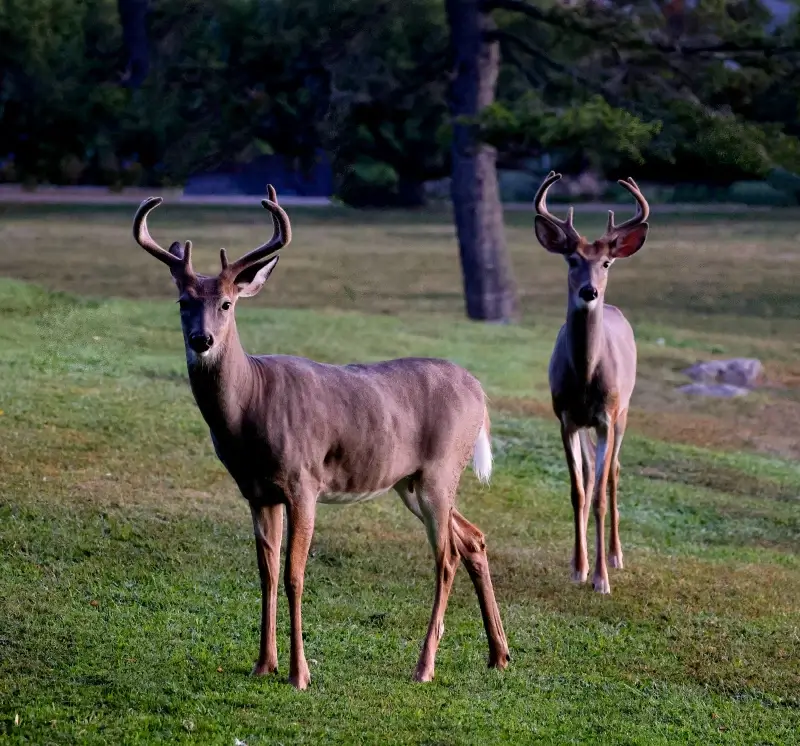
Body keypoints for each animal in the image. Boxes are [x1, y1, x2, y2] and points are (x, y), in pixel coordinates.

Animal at [129, 185, 510, 684]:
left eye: (227, 303)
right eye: (183, 302)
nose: (202, 340)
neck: (251, 404)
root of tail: (480, 391)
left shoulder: (303, 481)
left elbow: (295, 575)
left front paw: (299, 674)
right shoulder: (257, 492)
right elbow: (266, 572)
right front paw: (263, 664)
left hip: (440, 471)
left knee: (446, 556)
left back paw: (425, 666)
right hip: (410, 482)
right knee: (473, 538)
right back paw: (499, 654)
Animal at [532, 169, 648, 592]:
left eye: (607, 263)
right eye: (572, 258)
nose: (589, 290)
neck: (585, 377)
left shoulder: (606, 417)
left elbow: (597, 494)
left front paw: (600, 578)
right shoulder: (565, 417)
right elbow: (577, 491)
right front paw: (579, 567)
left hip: (625, 411)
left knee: (613, 473)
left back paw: (614, 555)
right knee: (588, 473)